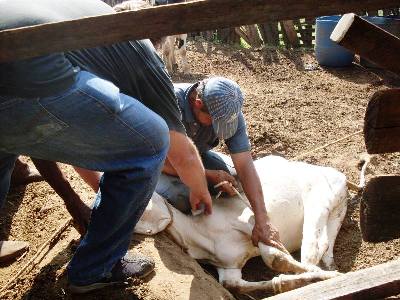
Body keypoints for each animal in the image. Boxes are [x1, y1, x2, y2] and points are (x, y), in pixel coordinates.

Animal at [134, 156, 346, 294]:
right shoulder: (228, 267)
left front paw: (329, 276)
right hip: (334, 210)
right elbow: (232, 285)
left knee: (313, 247)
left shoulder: (250, 220)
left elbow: (275, 258)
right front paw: (287, 282)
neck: (198, 236)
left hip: (318, 200)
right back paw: (329, 265)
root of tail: (341, 176)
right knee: (325, 246)